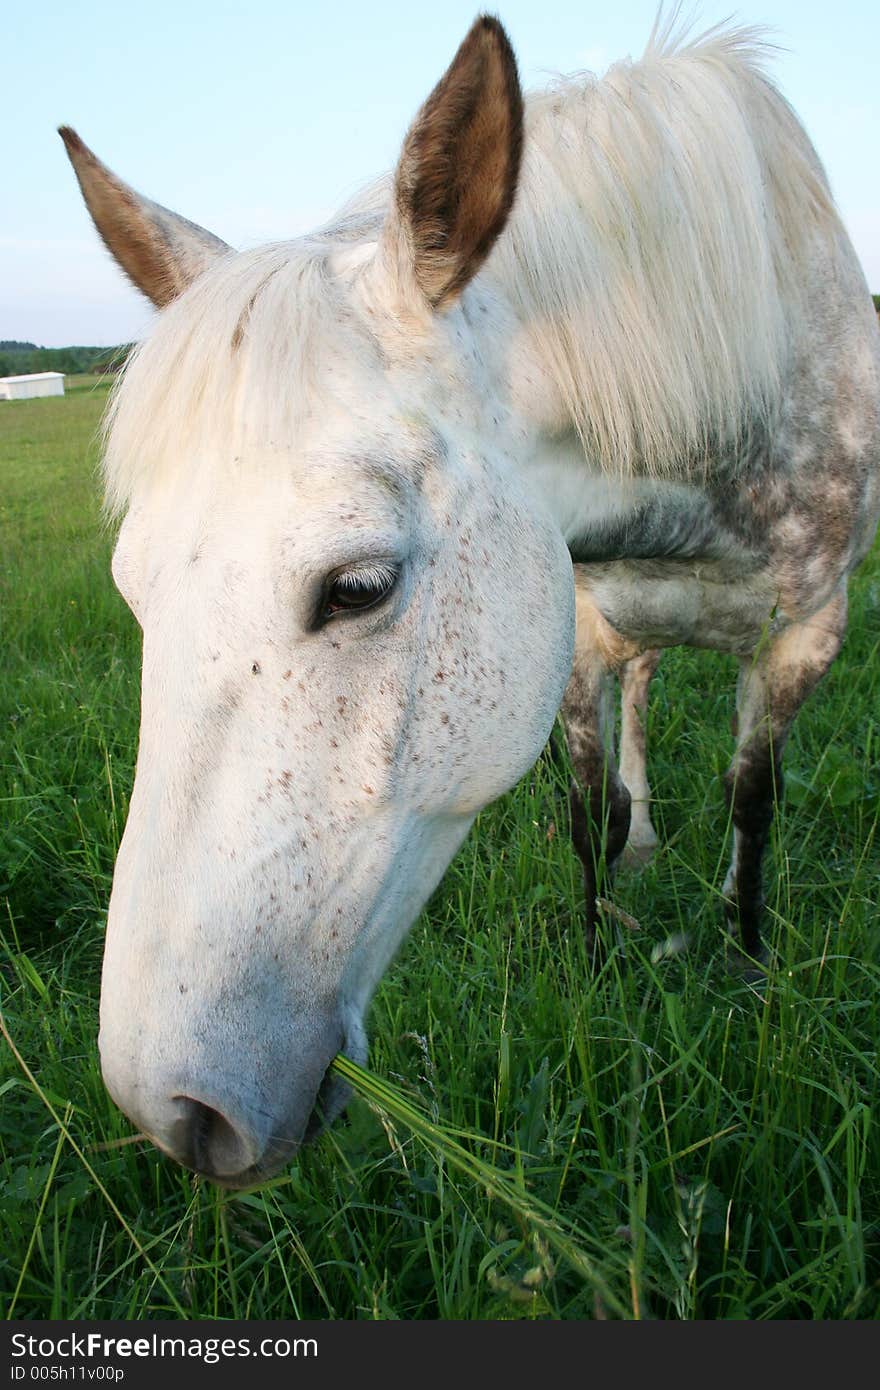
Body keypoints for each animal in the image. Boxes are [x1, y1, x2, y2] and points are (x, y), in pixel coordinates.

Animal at [63, 13, 878, 1184]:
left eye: (358, 587)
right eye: (136, 591)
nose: (173, 1111)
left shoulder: (805, 637)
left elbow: (752, 801)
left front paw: (744, 955)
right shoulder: (575, 629)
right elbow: (591, 809)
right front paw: (599, 950)